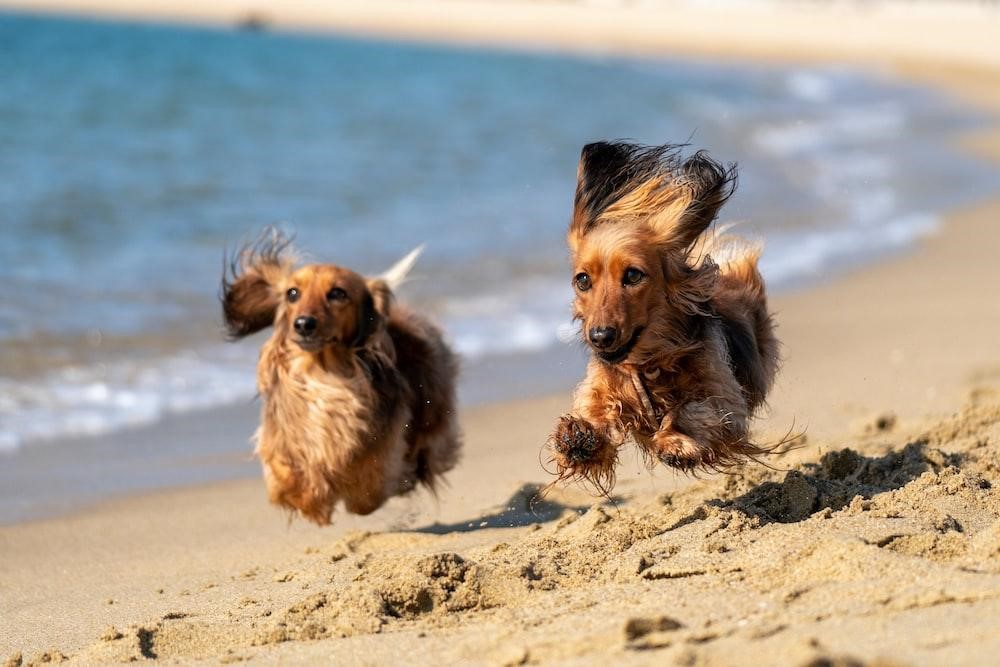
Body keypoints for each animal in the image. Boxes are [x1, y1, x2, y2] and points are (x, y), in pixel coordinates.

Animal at [223, 231, 460, 528]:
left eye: (337, 293)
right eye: (292, 293)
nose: (303, 324)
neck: (323, 373)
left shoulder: (382, 446)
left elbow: (366, 488)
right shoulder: (282, 439)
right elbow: (287, 476)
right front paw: (313, 500)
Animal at [552, 141, 776, 494]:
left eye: (633, 275)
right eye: (582, 280)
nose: (600, 337)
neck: (648, 362)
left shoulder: (724, 399)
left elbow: (693, 409)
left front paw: (675, 442)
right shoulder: (602, 386)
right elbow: (595, 409)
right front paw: (579, 437)